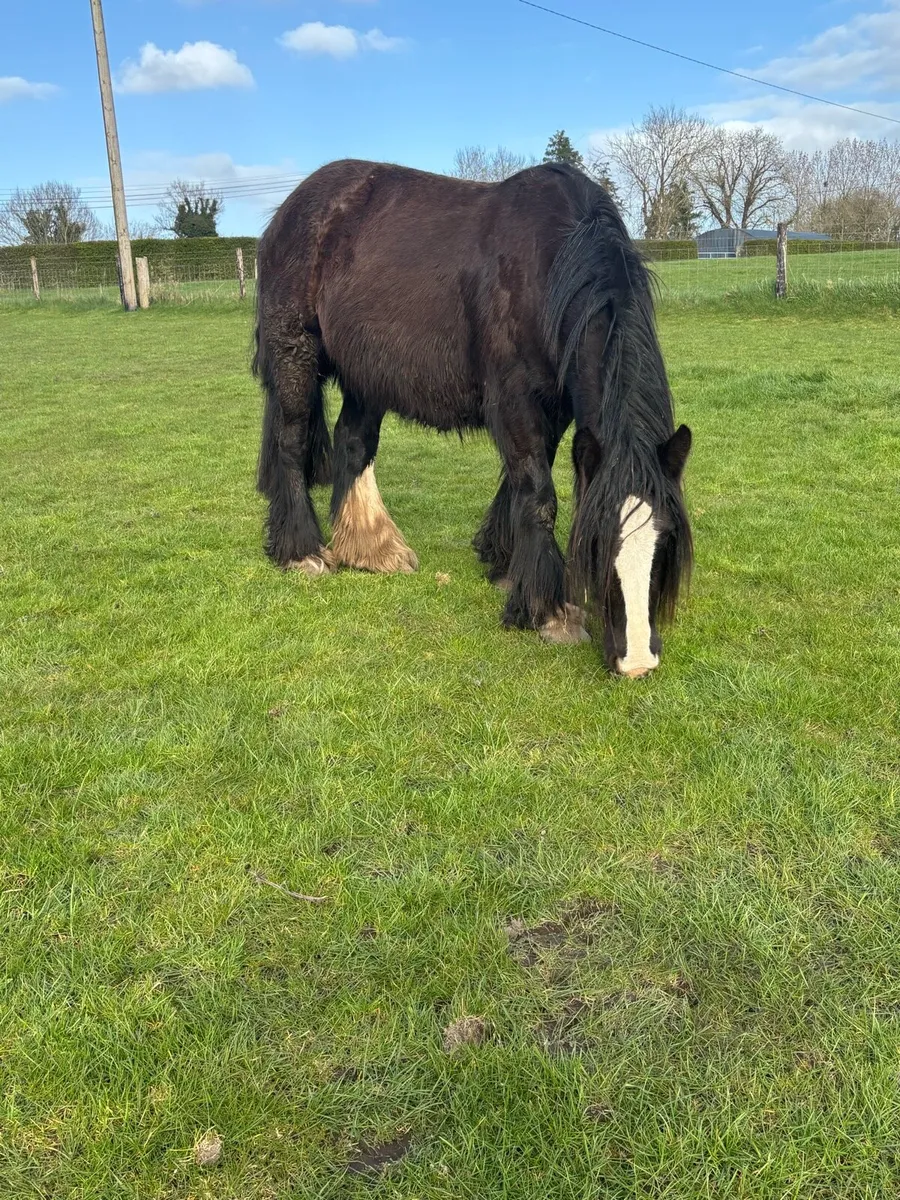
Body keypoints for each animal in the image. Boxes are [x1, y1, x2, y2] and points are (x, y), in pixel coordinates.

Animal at [253, 159, 693, 677]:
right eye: (597, 546)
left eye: (667, 543)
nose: (638, 659)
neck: (553, 261)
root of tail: (291, 210)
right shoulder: (515, 397)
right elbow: (538, 494)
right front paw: (548, 611)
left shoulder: (556, 407)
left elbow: (526, 481)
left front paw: (503, 562)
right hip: (294, 351)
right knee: (292, 440)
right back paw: (301, 552)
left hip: (368, 372)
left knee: (352, 442)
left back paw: (371, 547)